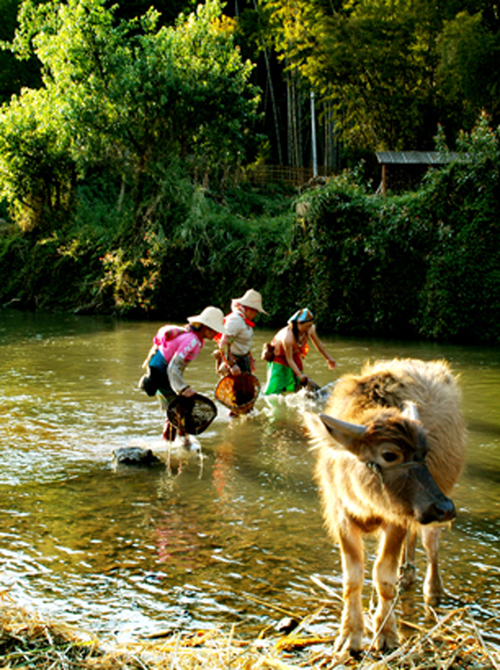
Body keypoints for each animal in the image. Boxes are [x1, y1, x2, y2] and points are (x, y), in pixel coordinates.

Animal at [306, 360, 466, 652]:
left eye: (424, 453)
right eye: (389, 454)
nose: (446, 508)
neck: (366, 502)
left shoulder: (397, 521)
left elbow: (383, 575)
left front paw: (386, 633)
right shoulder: (342, 518)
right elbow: (353, 577)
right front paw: (349, 634)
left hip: (432, 507)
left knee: (430, 544)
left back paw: (432, 589)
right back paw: (407, 574)